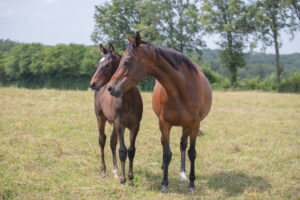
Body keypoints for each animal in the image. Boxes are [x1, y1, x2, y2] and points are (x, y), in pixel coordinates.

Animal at [89, 43, 143, 186]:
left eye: (107, 65)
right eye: (98, 64)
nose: (92, 84)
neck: (128, 99)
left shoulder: (135, 125)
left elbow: (131, 150)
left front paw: (130, 178)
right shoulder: (120, 123)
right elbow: (122, 150)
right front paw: (123, 179)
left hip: (114, 123)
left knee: (113, 141)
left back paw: (115, 170)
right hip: (100, 118)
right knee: (102, 140)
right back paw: (103, 171)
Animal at [106, 32, 212, 192]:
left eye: (127, 61)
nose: (111, 88)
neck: (182, 90)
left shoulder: (195, 124)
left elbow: (192, 152)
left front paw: (192, 183)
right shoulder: (164, 123)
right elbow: (167, 153)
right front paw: (164, 184)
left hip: (187, 125)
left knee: (183, 144)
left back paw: (183, 173)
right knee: (167, 144)